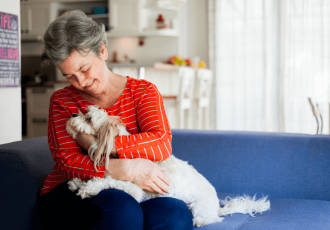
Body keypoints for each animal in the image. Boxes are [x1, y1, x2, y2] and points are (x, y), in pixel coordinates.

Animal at [65, 106, 270, 228]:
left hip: (199, 206)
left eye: (88, 118)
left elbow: (108, 180)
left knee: (213, 219)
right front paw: (77, 182)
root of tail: (216, 207)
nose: (73, 114)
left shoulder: (133, 188)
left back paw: (200, 221)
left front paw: (88, 188)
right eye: (82, 112)